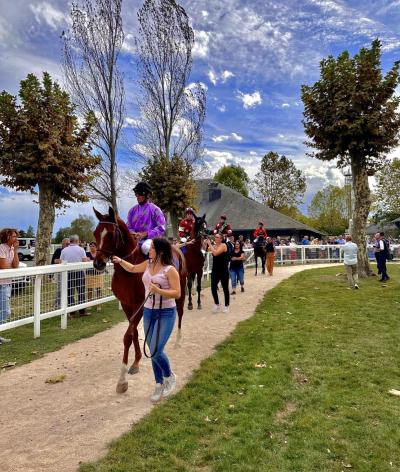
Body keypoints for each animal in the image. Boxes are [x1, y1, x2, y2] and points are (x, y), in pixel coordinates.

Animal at [93, 207, 187, 394]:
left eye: (111, 234)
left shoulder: (140, 305)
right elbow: (134, 332)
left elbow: (127, 336)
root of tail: (176, 248)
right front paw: (136, 361)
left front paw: (122, 380)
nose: (98, 263)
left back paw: (178, 340)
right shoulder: (127, 304)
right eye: (95, 233)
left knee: (179, 313)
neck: (128, 271)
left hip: (181, 290)